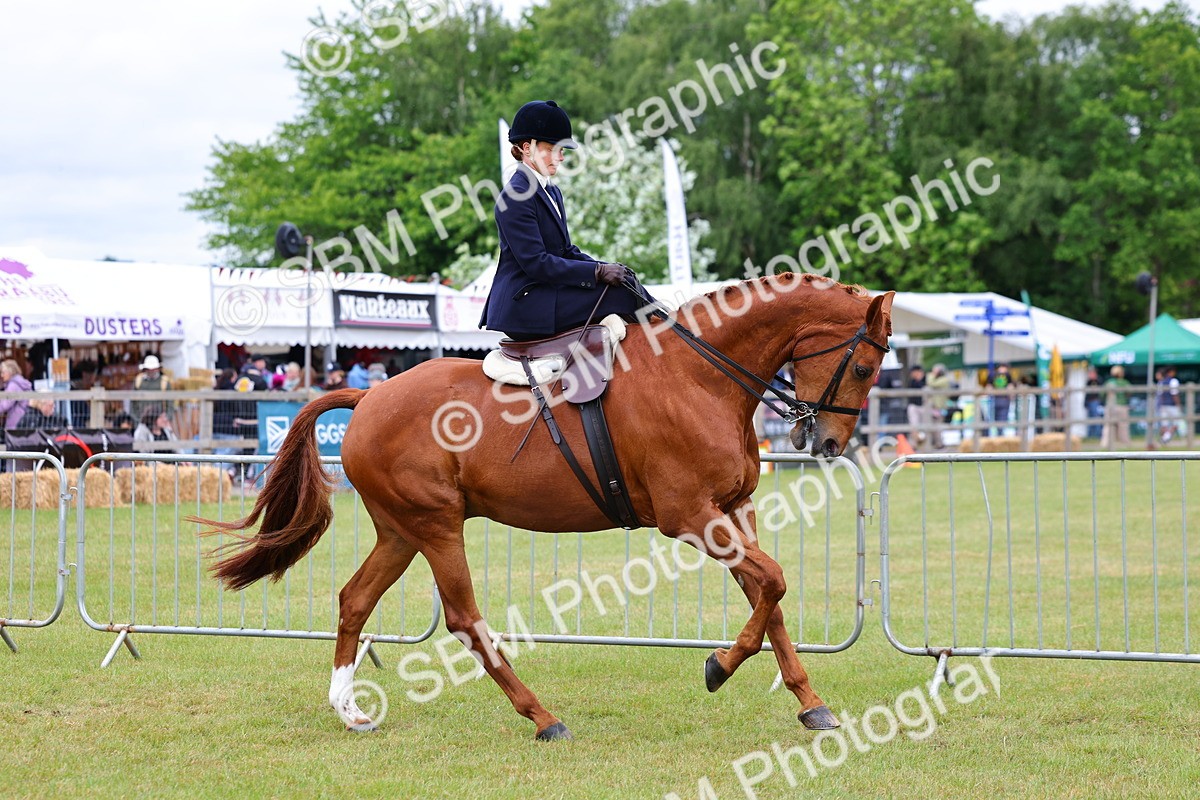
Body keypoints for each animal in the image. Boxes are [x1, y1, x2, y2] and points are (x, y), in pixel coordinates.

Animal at [196, 273, 895, 740]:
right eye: (863, 367)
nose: (827, 445)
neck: (701, 376)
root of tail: (367, 398)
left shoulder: (734, 508)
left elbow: (767, 597)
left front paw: (809, 702)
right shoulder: (691, 516)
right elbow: (771, 583)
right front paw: (719, 667)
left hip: (400, 531)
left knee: (354, 600)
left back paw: (350, 709)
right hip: (435, 525)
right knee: (464, 619)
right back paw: (542, 717)